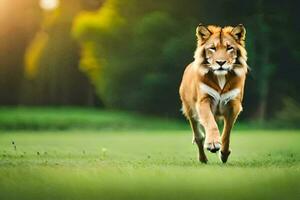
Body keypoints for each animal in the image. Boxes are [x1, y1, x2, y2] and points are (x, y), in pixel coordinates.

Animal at [179, 24, 247, 163]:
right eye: (212, 48)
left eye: (229, 48)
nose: (221, 62)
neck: (220, 76)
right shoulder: (204, 101)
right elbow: (210, 123)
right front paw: (213, 144)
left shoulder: (234, 104)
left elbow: (227, 132)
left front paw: (224, 153)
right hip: (190, 110)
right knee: (199, 136)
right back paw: (203, 159)